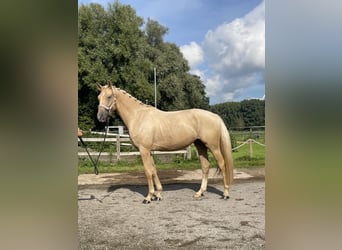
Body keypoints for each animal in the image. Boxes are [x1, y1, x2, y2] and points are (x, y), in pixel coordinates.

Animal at [97, 81, 234, 203]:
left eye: (109, 96)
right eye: (99, 97)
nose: (100, 117)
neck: (138, 116)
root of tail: (215, 116)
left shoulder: (144, 150)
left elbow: (148, 171)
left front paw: (148, 197)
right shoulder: (149, 151)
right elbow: (153, 170)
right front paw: (158, 194)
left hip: (213, 147)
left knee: (222, 164)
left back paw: (226, 193)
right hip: (200, 145)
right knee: (205, 166)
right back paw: (200, 193)